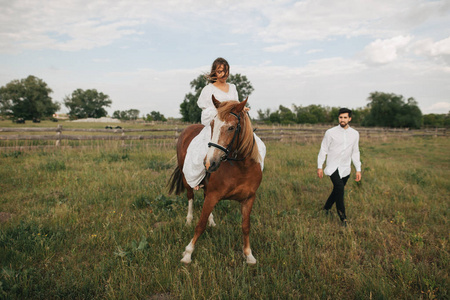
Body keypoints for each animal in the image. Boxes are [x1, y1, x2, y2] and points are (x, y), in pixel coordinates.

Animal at [168, 95, 260, 264]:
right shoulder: (213, 195)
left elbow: (246, 226)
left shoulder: (249, 198)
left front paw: (249, 255)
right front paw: (188, 254)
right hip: (187, 179)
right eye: (212, 125)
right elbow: (200, 224)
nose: (209, 163)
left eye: (231, 128)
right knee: (190, 197)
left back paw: (212, 221)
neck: (241, 167)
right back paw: (188, 220)